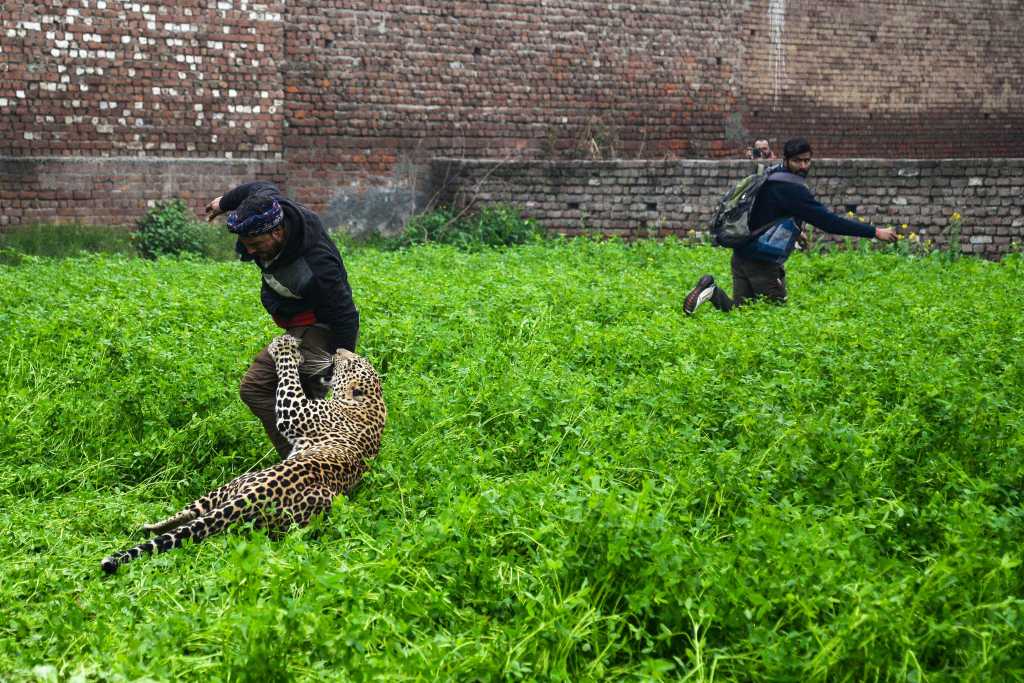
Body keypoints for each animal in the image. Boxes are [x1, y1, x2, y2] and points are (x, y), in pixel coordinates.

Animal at [100, 333, 387, 573]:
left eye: (350, 363)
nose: (338, 350)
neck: (372, 403)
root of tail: (252, 496)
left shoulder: (295, 410)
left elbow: (289, 378)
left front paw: (285, 350)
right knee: (193, 516)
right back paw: (150, 526)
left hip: (237, 485)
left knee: (194, 516)